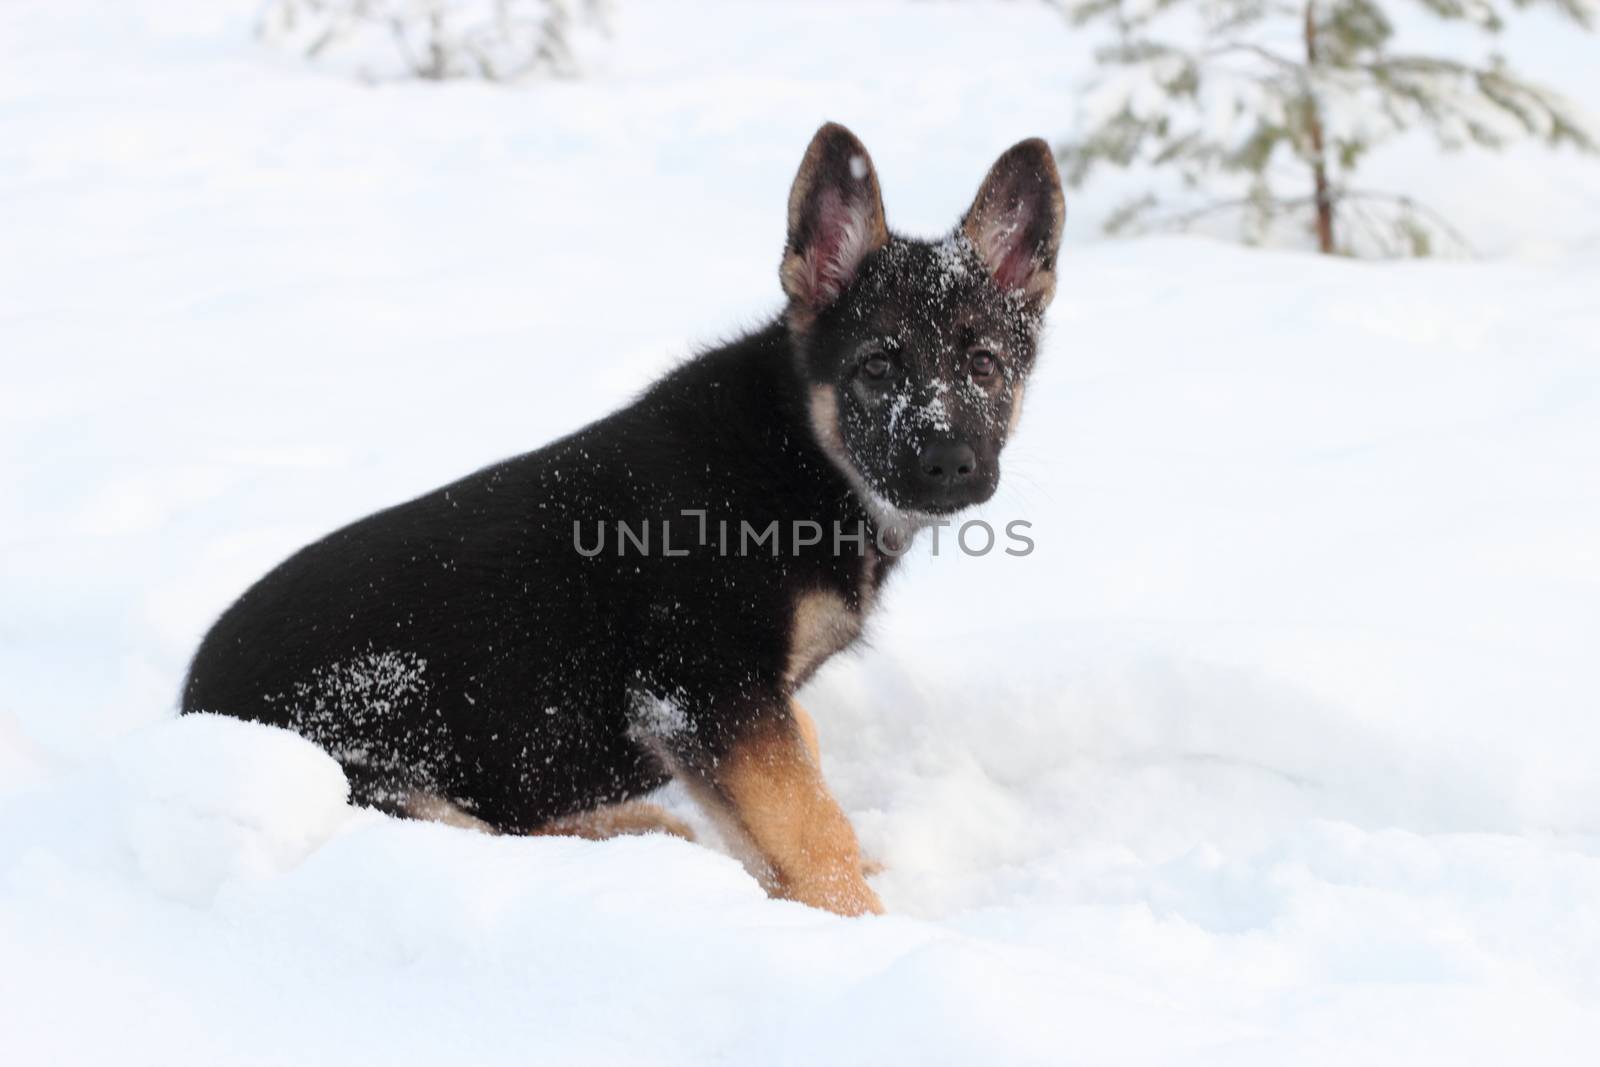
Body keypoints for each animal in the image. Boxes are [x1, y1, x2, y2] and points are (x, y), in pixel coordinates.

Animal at [181, 120, 1062, 915]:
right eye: (877, 369)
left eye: (985, 366)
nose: (950, 463)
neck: (800, 454)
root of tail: (185, 710)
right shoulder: (702, 687)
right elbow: (810, 823)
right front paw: (860, 924)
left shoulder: (733, 708)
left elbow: (797, 770)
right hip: (383, 775)